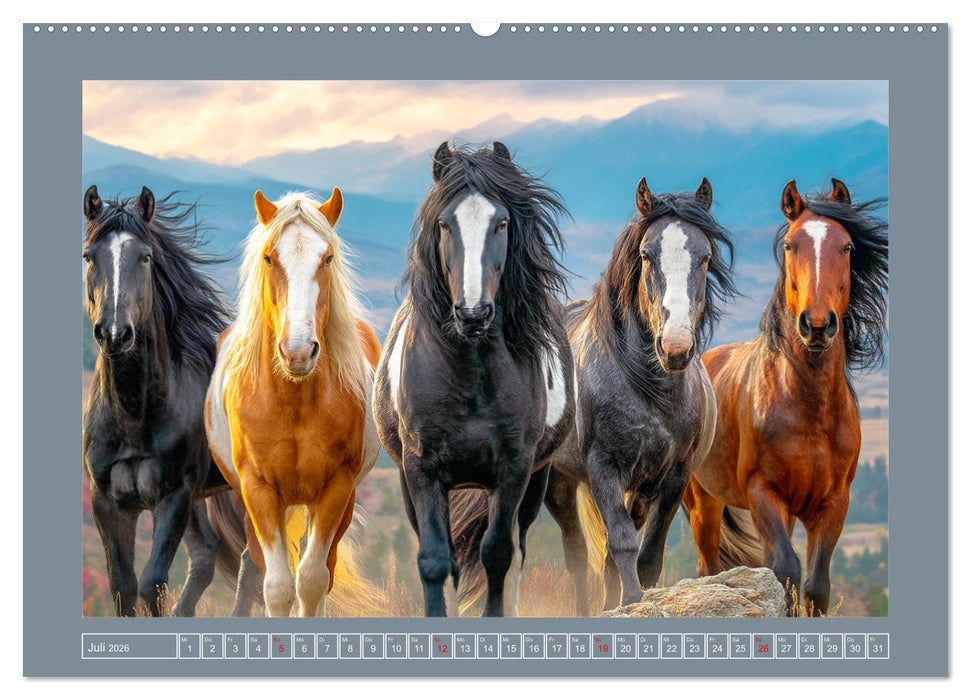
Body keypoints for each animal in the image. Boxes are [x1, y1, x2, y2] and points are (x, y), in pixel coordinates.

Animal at [82, 185, 230, 616]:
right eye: (88, 256)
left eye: (145, 257)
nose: (115, 333)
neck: (134, 418)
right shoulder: (107, 502)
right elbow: (123, 586)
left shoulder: (174, 498)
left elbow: (153, 584)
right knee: (208, 554)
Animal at [205, 189, 382, 617]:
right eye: (269, 257)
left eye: (328, 258)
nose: (298, 351)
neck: (295, 400)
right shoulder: (258, 491)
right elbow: (278, 586)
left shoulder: (336, 489)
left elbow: (313, 580)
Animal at [373, 141, 576, 617]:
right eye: (444, 224)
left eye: (501, 222)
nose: (473, 314)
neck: (470, 374)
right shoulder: (421, 469)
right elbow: (435, 559)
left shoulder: (514, 468)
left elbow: (498, 555)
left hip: (534, 482)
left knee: (516, 551)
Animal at [545, 177, 737, 614]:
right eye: (647, 256)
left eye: (705, 257)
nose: (676, 347)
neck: (651, 393)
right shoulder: (604, 469)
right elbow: (621, 543)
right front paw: (631, 601)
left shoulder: (673, 476)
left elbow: (647, 555)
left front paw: (630, 600)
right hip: (555, 482)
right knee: (576, 554)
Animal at [683, 179, 889, 616]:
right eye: (791, 245)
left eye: (848, 246)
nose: (817, 324)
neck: (809, 409)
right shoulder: (764, 494)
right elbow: (787, 570)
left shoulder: (833, 503)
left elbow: (815, 585)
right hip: (702, 504)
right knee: (708, 566)